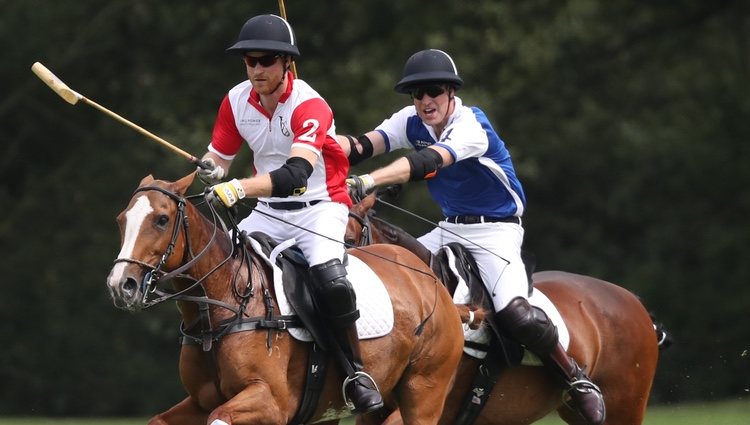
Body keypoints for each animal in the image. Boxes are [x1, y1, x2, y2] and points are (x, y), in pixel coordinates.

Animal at [104, 172, 464, 424]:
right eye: (121, 219)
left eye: (162, 219)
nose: (121, 285)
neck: (222, 308)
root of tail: (430, 276)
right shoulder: (201, 400)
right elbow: (159, 419)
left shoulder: (271, 402)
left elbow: (220, 417)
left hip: (424, 391)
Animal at [346, 193, 664, 424]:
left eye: (349, 239)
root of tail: (633, 300)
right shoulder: (373, 408)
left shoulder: (428, 396)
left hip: (625, 407)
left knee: (523, 318)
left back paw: (587, 393)